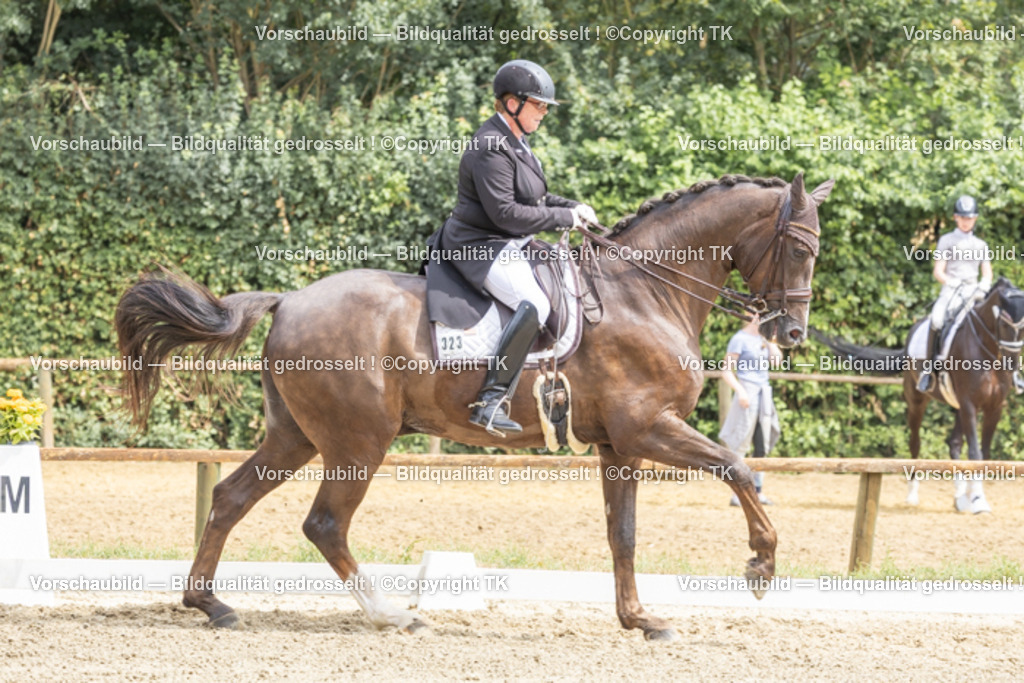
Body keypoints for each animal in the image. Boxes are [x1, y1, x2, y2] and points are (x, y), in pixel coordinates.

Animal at [114, 172, 834, 641]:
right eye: (801, 247)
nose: (793, 333)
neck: (644, 292)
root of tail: (289, 299)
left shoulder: (620, 444)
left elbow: (623, 533)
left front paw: (640, 619)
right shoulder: (650, 428)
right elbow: (738, 468)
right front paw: (762, 564)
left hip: (297, 435)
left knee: (231, 497)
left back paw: (210, 603)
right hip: (357, 442)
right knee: (324, 524)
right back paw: (391, 614)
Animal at [814, 277, 1024, 512]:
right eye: (1005, 324)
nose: (1011, 364)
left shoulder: (994, 406)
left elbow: (984, 454)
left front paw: (976, 497)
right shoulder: (970, 404)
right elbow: (975, 453)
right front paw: (978, 500)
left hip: (957, 405)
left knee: (954, 444)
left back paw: (960, 498)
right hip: (917, 401)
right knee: (915, 443)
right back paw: (913, 495)